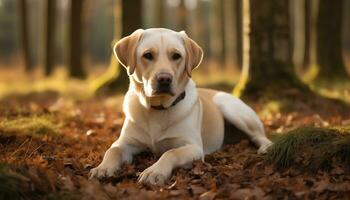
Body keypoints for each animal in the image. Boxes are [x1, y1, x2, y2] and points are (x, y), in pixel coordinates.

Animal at [90, 28, 274, 186]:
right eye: (148, 55)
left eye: (176, 56)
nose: (164, 79)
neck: (158, 108)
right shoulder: (126, 142)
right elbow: (112, 150)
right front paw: (102, 168)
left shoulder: (193, 147)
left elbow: (170, 152)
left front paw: (154, 171)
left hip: (229, 107)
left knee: (259, 135)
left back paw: (266, 148)